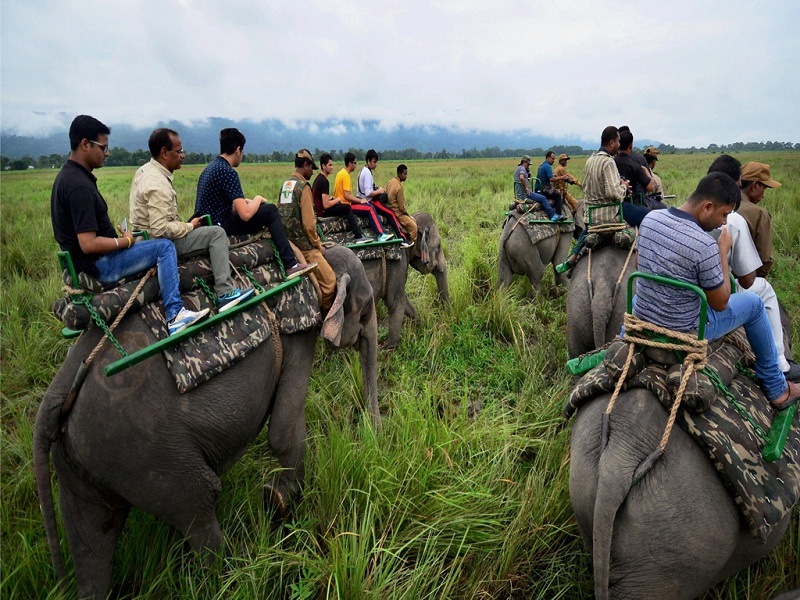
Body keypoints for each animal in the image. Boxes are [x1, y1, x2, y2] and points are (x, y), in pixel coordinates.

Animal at [34, 245, 378, 600]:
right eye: (367, 306)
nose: (373, 436)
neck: (316, 260)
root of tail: (57, 393)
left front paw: (277, 500)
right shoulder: (297, 330)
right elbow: (283, 431)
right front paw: (280, 502)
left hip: (84, 459)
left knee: (91, 540)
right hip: (147, 456)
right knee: (199, 508)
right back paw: (233, 574)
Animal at [358, 212, 446, 350]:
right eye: (438, 247)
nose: (445, 320)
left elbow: (404, 301)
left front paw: (421, 325)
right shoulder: (397, 263)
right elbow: (395, 302)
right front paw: (391, 348)